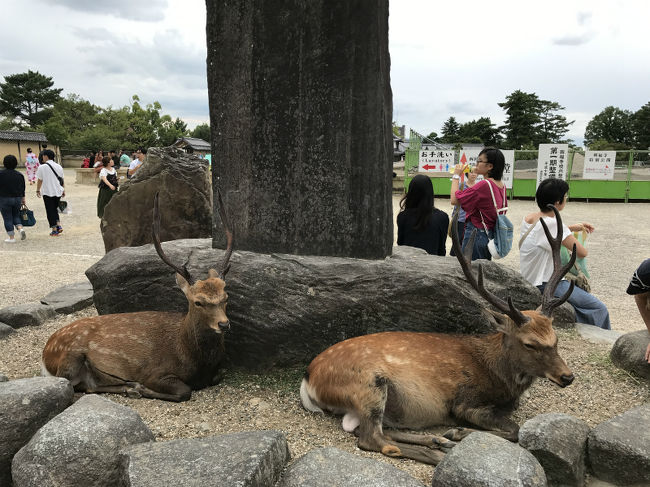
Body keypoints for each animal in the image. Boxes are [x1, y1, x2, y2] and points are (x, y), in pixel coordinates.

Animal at [41, 191, 233, 402]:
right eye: (198, 302)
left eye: (226, 297)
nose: (224, 324)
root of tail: (45, 353)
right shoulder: (154, 372)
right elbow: (184, 391)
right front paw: (142, 388)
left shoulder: (215, 372)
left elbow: (218, 376)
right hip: (70, 357)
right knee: (72, 386)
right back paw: (133, 387)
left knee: (89, 386)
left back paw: (128, 387)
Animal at [300, 204, 577, 464]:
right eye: (530, 344)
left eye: (556, 339)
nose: (567, 376)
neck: (501, 378)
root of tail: (308, 378)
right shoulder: (466, 401)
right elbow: (514, 429)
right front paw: (458, 432)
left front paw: (453, 435)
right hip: (368, 383)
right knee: (372, 439)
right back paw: (440, 449)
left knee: (374, 431)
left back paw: (436, 440)